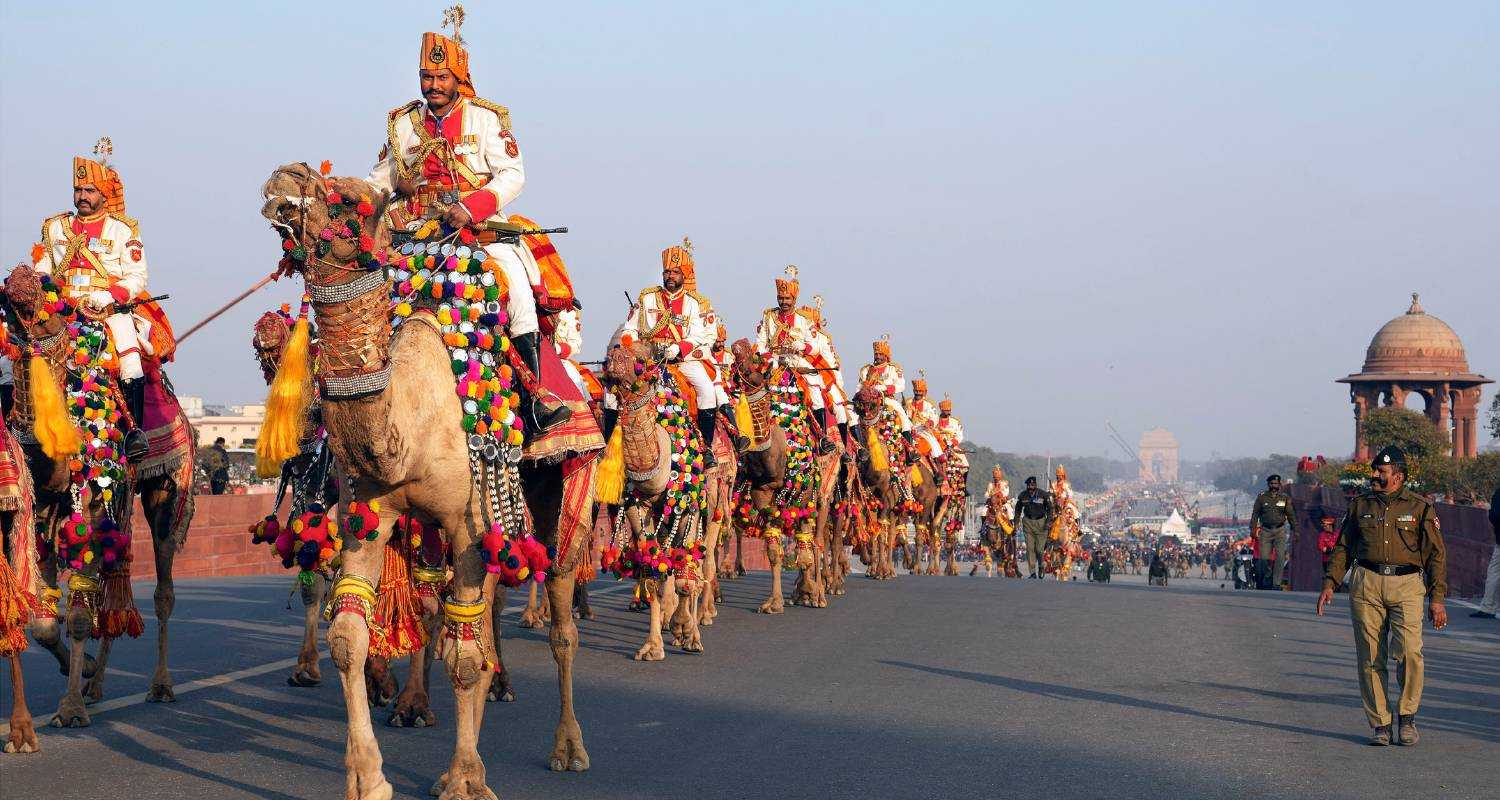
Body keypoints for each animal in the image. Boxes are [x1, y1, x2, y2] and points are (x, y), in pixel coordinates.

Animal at [2, 265, 196, 726]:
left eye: (45, 308)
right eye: (8, 308)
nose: (26, 339)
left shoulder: (87, 498)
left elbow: (75, 615)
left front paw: (70, 707)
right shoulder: (44, 510)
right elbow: (44, 621)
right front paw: (83, 671)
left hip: (166, 483)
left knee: (163, 586)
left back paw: (160, 685)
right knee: (114, 576)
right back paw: (96, 684)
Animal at [261, 163, 600, 798]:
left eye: (347, 199)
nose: (282, 181)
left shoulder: (467, 521)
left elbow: (462, 658)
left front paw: (464, 778)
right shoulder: (370, 513)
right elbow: (350, 635)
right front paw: (368, 778)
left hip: (563, 487)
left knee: (561, 617)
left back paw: (569, 747)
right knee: (477, 616)